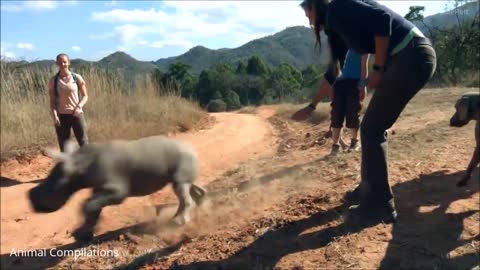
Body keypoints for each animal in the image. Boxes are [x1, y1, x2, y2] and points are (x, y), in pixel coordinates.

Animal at [28, 136, 206, 242]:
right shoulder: (99, 187)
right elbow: (92, 207)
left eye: (52, 188)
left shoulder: (117, 189)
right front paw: (82, 235)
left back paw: (177, 221)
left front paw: (82, 233)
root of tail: (191, 148)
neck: (79, 164)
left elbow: (88, 204)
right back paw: (203, 205)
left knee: (181, 187)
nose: (31, 201)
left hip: (183, 157)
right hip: (182, 162)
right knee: (183, 184)